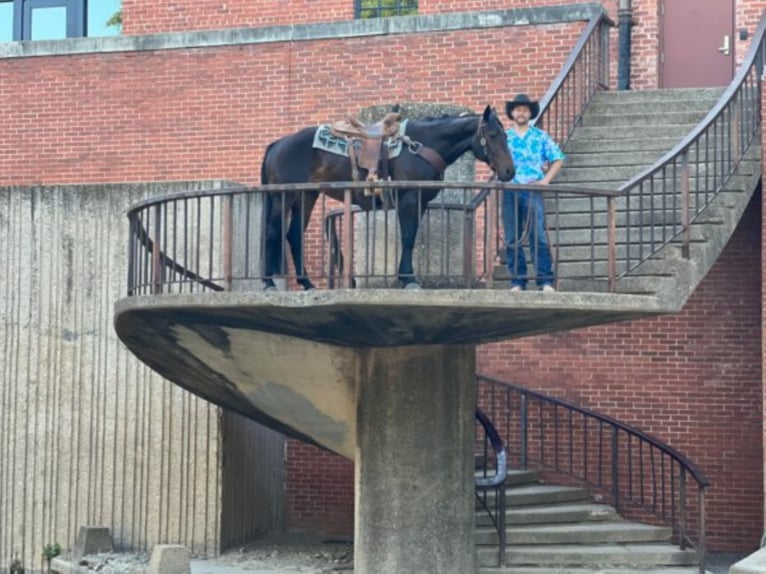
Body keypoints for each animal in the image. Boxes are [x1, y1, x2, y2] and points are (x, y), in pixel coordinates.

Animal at [260, 105, 520, 290]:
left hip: (306, 196)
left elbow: (410, 237)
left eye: (505, 135)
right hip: (284, 197)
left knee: (293, 235)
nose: (509, 171)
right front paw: (408, 279)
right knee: (273, 233)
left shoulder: (420, 202)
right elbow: (408, 237)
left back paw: (307, 284)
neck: (421, 145)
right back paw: (268, 282)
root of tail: (278, 144)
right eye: (493, 135)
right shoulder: (409, 199)